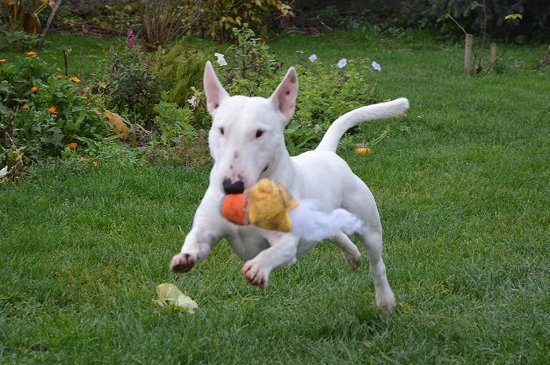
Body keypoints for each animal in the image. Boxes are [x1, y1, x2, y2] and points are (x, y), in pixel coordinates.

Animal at [171, 61, 410, 310]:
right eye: (221, 129)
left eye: (259, 133)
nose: (231, 185)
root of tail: (326, 152)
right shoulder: (207, 229)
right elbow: (196, 239)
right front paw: (183, 258)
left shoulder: (287, 243)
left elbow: (278, 251)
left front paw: (257, 268)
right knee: (333, 232)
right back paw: (353, 256)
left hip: (368, 224)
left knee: (377, 263)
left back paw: (385, 299)